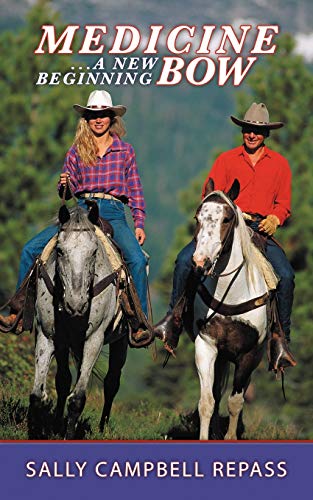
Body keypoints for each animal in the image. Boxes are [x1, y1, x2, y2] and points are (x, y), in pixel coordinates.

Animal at [28, 203, 127, 438]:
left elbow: (78, 399)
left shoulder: (94, 340)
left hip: (121, 342)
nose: (76, 304)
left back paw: (102, 427)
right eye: (60, 251)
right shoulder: (47, 336)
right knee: (63, 381)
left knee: (111, 382)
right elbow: (37, 395)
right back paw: (56, 424)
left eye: (94, 252)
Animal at [191, 179, 270, 438]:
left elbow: (235, 402)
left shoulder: (249, 354)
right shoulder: (206, 345)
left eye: (226, 219)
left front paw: (231, 436)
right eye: (198, 217)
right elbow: (207, 401)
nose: (200, 262)